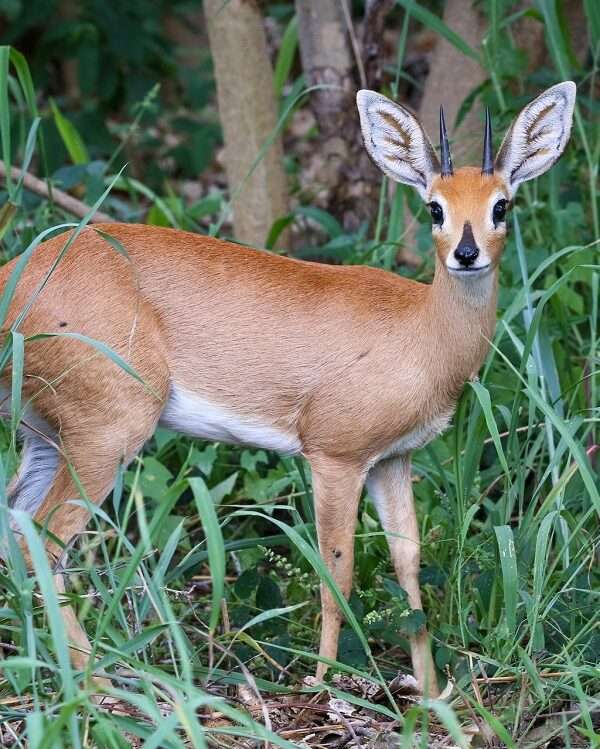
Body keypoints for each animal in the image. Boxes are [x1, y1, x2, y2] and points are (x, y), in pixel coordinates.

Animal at [0, 82, 576, 696]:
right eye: (435, 207)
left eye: (501, 204)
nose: (467, 254)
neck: (421, 335)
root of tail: (15, 279)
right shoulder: (334, 454)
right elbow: (336, 571)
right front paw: (323, 683)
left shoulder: (393, 459)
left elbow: (408, 564)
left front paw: (429, 689)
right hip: (108, 429)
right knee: (45, 537)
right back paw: (102, 681)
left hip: (46, 429)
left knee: (17, 524)